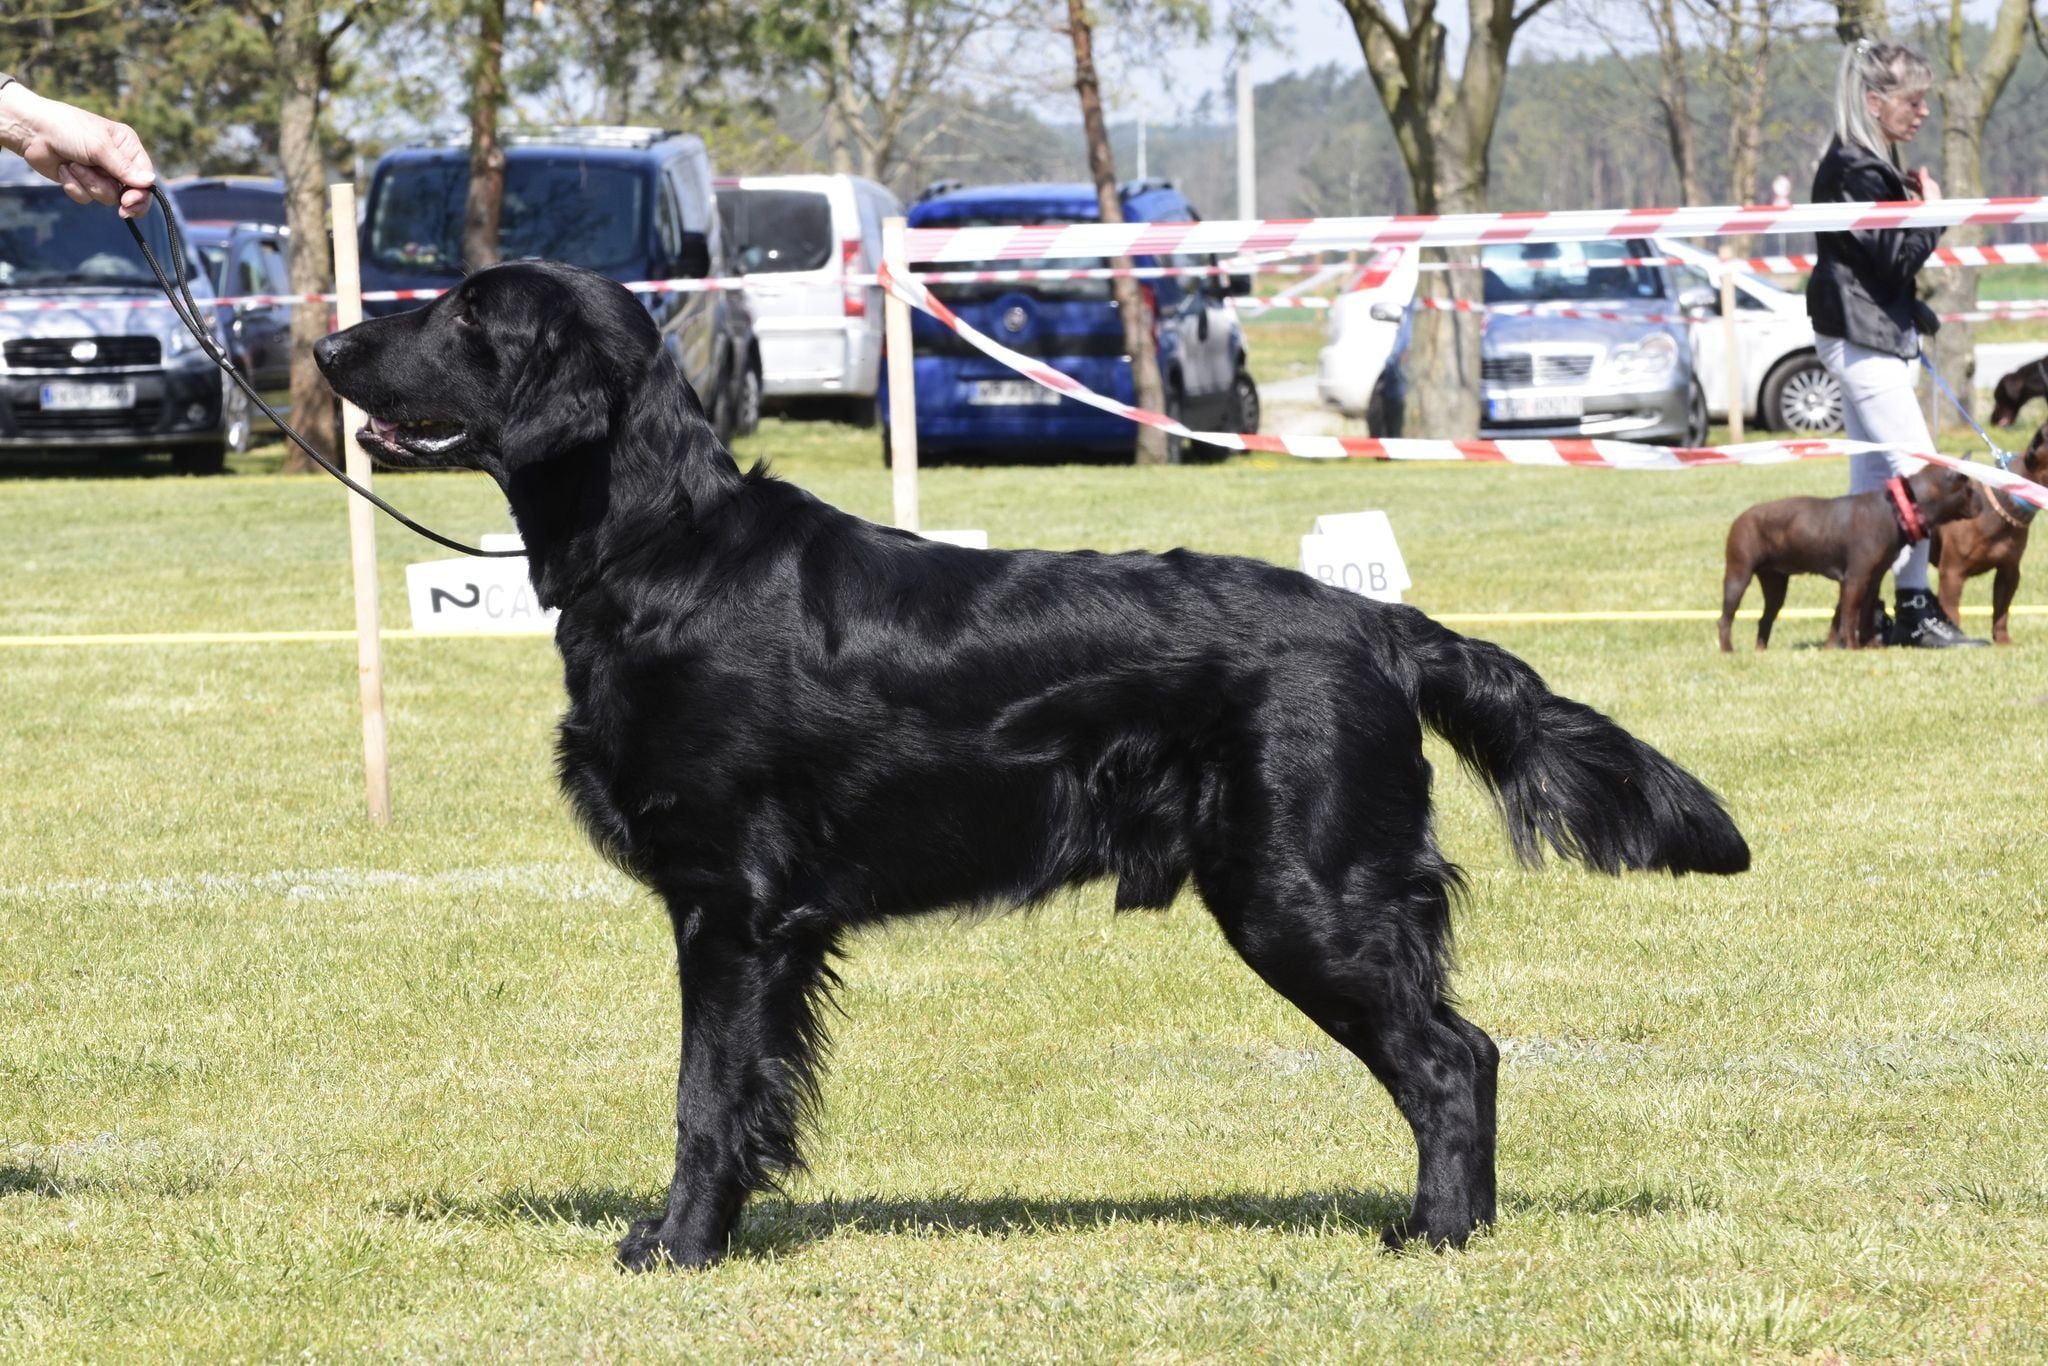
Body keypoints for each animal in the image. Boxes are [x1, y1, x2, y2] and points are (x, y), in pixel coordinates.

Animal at [311, 264, 1753, 1269]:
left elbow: (705, 1094)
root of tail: (1380, 622)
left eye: (468, 310)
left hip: (1302, 892)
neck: (659, 546)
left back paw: (1439, 1234)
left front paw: (680, 1246)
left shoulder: (730, 906)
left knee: (1457, 1056)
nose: (325, 348)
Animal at [1720, 466, 1974, 655]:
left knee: (1764, 619)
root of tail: (1739, 518)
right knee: (1725, 619)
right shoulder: (1855, 580)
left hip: (1775, 584)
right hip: (1738, 577)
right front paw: (1852, 647)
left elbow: (1853, 617)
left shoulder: (1870, 581)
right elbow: (1850, 618)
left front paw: (1859, 647)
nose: (1980, 501)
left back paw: (1761, 651)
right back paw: (1728, 651)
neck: (1896, 510)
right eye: (1970, 489)